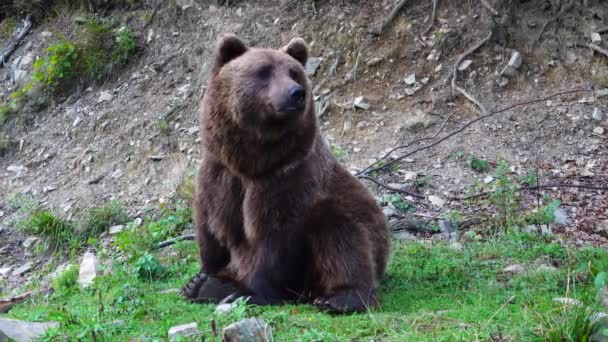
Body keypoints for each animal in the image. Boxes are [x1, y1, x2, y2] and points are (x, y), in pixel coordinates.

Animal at [179, 34, 390, 312]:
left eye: (294, 72)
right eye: (263, 71)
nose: (296, 92)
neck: (251, 161)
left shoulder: (287, 177)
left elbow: (273, 240)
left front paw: (251, 293)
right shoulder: (219, 175)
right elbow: (213, 227)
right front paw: (204, 279)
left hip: (355, 233)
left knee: (340, 232)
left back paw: (340, 298)